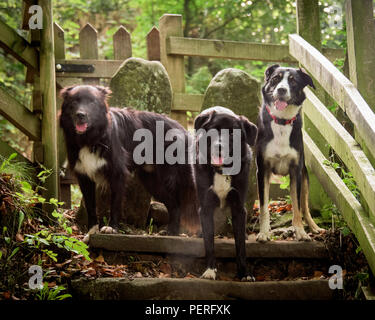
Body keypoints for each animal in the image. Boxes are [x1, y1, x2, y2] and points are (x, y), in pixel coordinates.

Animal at [194, 107, 258, 280]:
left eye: (231, 134)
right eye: (213, 130)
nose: (219, 147)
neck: (222, 171)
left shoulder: (238, 208)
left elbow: (240, 245)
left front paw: (244, 273)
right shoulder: (206, 207)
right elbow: (209, 243)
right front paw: (210, 270)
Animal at [256, 63, 326, 241]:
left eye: (293, 81)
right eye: (276, 78)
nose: (281, 90)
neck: (281, 121)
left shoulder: (296, 171)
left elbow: (297, 206)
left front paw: (301, 232)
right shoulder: (263, 170)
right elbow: (264, 206)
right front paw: (264, 233)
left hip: (306, 178)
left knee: (305, 206)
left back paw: (314, 228)